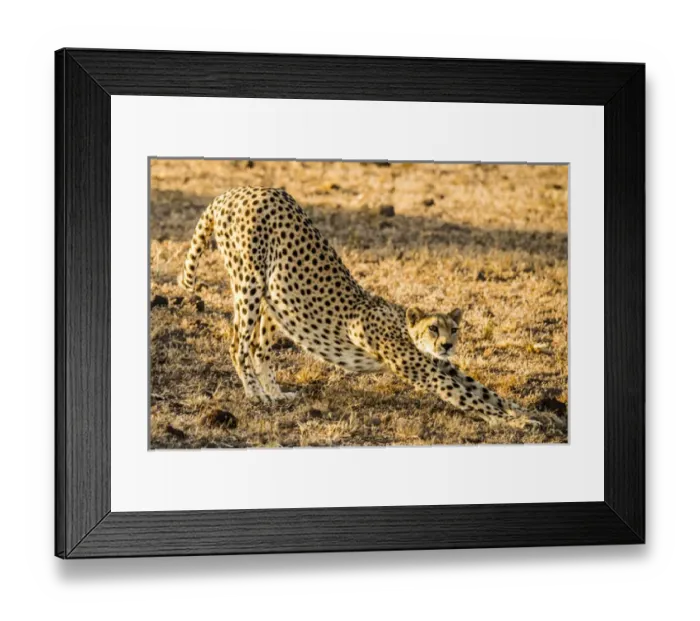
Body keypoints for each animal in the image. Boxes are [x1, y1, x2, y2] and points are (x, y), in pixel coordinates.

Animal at [178, 186, 529, 418]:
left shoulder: (442, 366)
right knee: (237, 344)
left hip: (272, 298)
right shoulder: (426, 373)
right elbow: (470, 397)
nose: (447, 345)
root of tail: (235, 191)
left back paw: (275, 394)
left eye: (453, 329)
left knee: (258, 348)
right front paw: (515, 421)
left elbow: (483, 390)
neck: (407, 330)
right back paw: (255, 394)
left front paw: (525, 412)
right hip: (248, 282)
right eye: (433, 329)